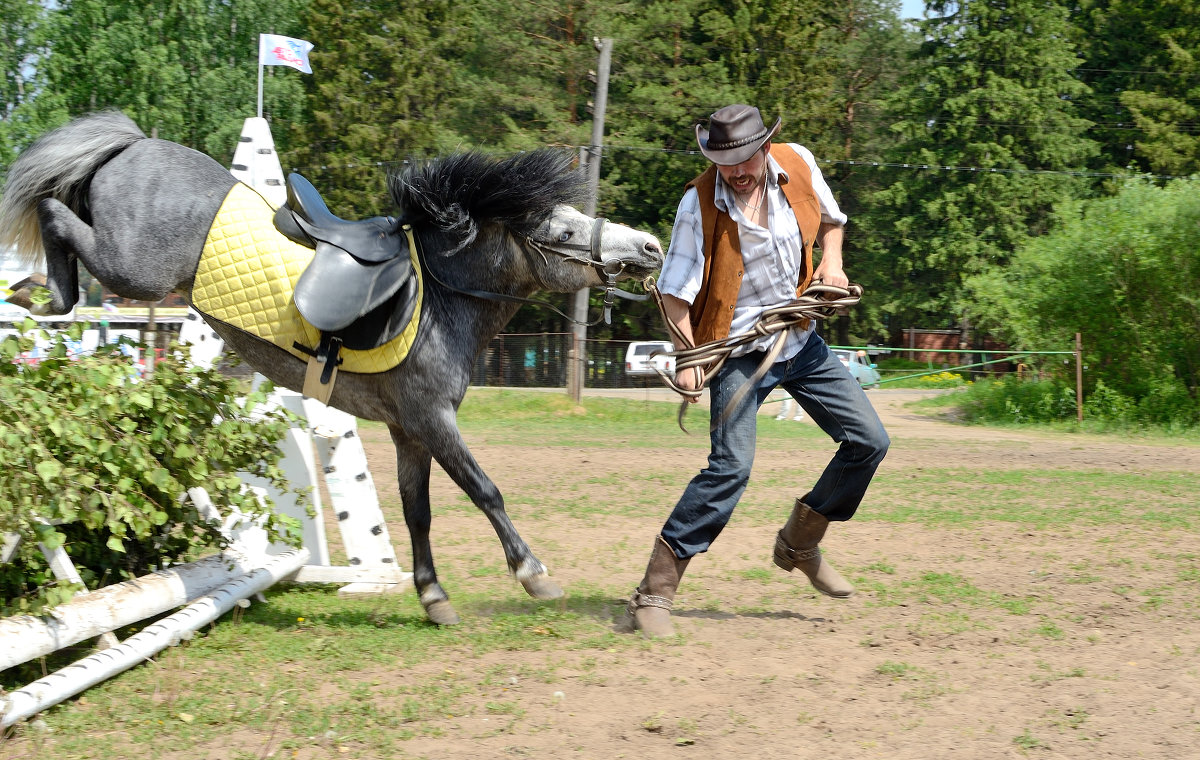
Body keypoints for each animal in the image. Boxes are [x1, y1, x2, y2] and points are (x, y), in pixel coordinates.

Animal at [0, 111, 667, 624]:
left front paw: (433, 596)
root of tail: (136, 144)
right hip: (133, 266)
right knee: (55, 213)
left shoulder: (408, 429)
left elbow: (418, 512)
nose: (651, 248)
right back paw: (43, 296)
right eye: (565, 230)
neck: (441, 294)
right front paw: (534, 574)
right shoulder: (433, 419)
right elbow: (485, 490)